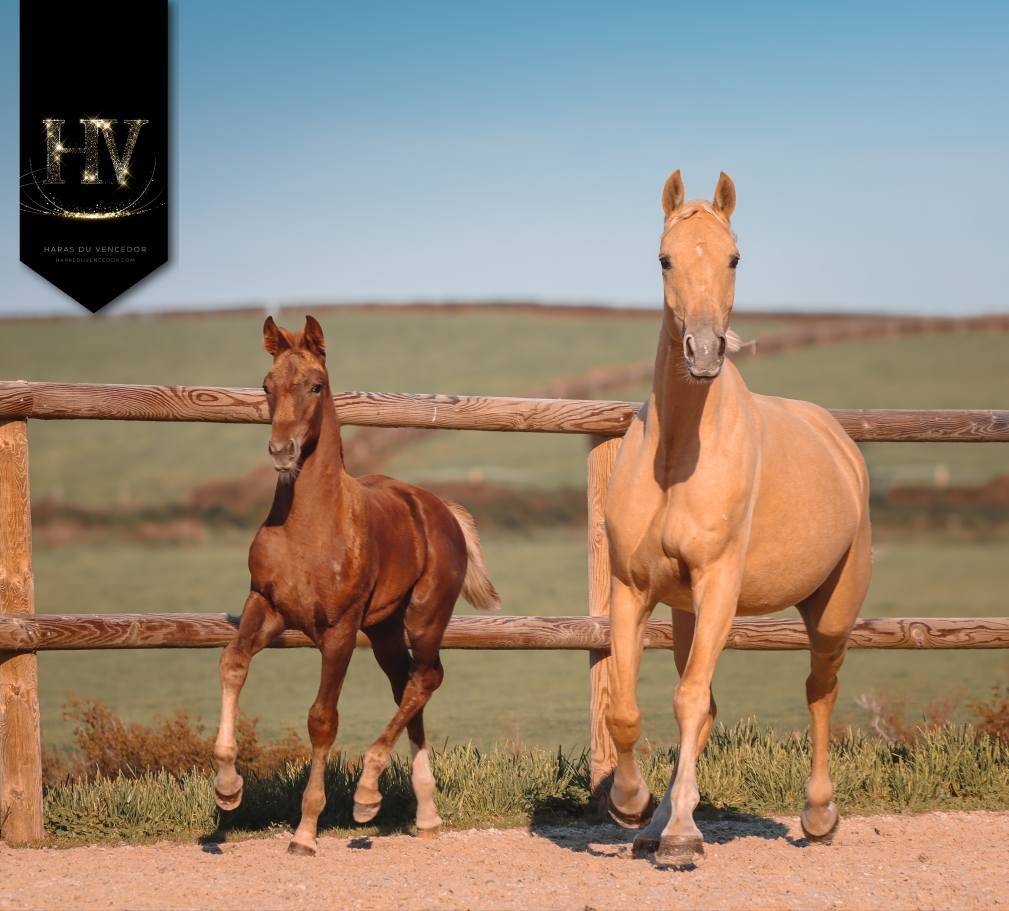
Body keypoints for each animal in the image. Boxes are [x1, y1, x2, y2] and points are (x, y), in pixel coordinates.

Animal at [211, 315, 501, 856]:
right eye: (266, 385)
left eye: (315, 385)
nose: (281, 451)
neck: (309, 526)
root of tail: (440, 510)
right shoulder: (266, 605)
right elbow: (233, 664)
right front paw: (227, 787)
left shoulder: (340, 630)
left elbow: (322, 718)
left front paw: (305, 831)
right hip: (384, 630)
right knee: (407, 686)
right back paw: (426, 814)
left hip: (425, 617)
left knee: (426, 678)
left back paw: (368, 794)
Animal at [603, 171, 872, 868]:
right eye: (664, 259)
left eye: (734, 258)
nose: (702, 353)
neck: (678, 456)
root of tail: (839, 441)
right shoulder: (633, 590)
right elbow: (627, 708)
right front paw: (633, 806)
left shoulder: (720, 585)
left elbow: (690, 699)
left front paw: (680, 835)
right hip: (685, 614)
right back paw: (656, 820)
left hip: (831, 612)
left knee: (819, 690)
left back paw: (818, 814)